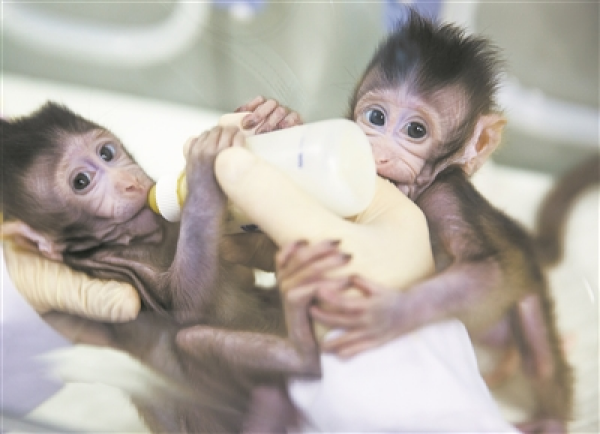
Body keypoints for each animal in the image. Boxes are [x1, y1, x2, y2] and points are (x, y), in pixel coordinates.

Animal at [0, 102, 329, 433]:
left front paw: (275, 116)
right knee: (191, 340)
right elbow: (186, 309)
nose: (129, 182)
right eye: (81, 182)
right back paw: (301, 353)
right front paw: (203, 174)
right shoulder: (108, 270)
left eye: (107, 153)